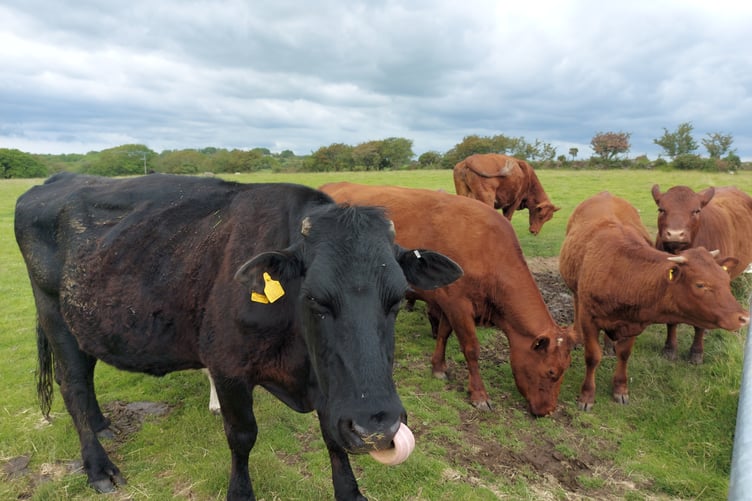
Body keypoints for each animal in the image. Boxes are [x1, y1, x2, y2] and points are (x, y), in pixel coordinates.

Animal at [14, 172, 463, 500]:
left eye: (398, 297)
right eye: (314, 297)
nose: (377, 427)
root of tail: (59, 178)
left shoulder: (331, 387)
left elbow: (332, 437)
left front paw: (351, 492)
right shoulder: (227, 368)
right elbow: (242, 436)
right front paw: (240, 492)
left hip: (84, 321)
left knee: (85, 379)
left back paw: (103, 424)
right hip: (53, 312)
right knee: (72, 384)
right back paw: (99, 467)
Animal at [319, 181, 575, 417]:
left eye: (565, 371)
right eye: (552, 372)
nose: (548, 411)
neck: (488, 250)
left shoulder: (448, 302)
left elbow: (443, 333)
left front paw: (438, 367)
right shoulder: (459, 305)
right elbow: (471, 348)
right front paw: (479, 395)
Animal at [652, 184, 752, 363]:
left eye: (696, 210)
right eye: (661, 209)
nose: (675, 234)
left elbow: (700, 326)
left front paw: (697, 352)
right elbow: (671, 321)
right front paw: (669, 348)